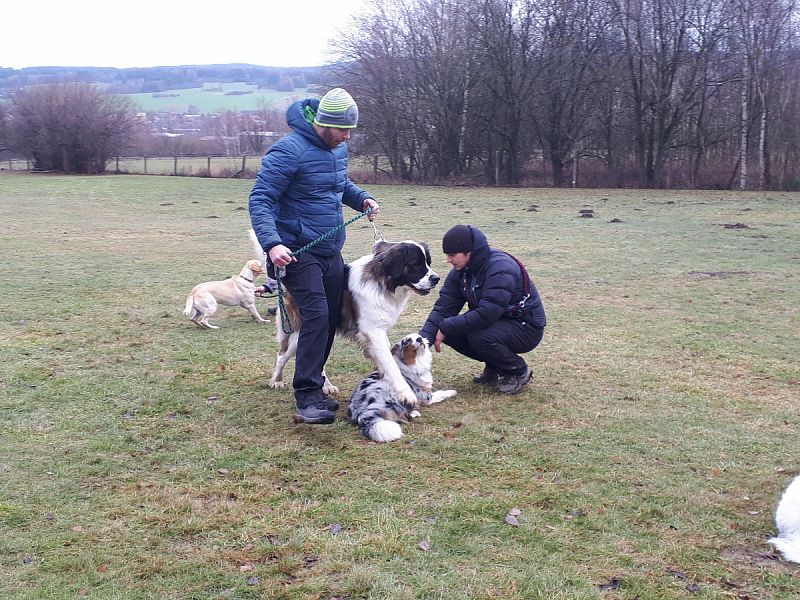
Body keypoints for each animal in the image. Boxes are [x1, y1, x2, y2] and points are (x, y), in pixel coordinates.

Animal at [248, 231, 438, 408]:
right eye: (416, 265)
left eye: (427, 263)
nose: (436, 279)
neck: (382, 281)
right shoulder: (373, 331)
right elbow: (391, 363)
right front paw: (406, 393)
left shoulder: (378, 330)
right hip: (299, 332)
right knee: (283, 355)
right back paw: (277, 380)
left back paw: (326, 386)